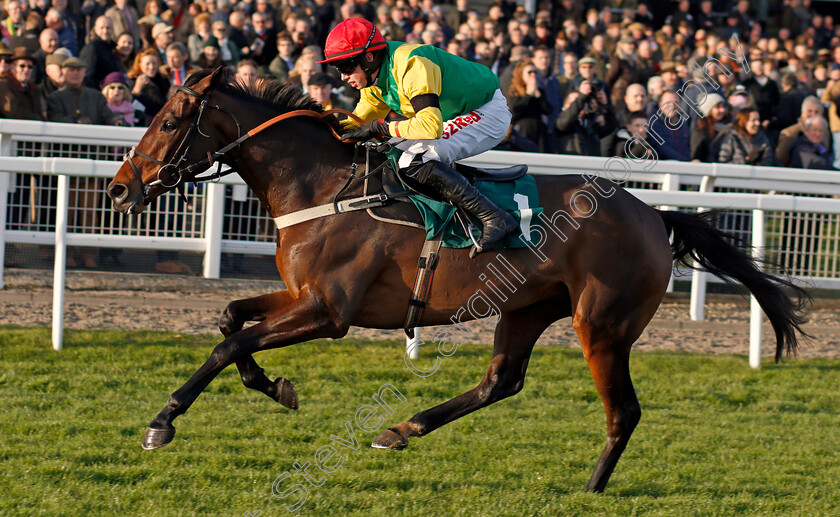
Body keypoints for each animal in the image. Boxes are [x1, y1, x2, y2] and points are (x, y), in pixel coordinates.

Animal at [105, 68, 808, 492]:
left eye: (170, 121)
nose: (118, 191)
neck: (325, 188)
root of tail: (654, 215)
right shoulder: (304, 297)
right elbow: (231, 319)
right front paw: (275, 386)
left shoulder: (329, 312)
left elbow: (230, 343)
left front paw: (163, 422)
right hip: (526, 308)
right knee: (502, 381)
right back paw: (400, 429)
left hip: (602, 324)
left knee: (623, 410)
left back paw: (591, 487)